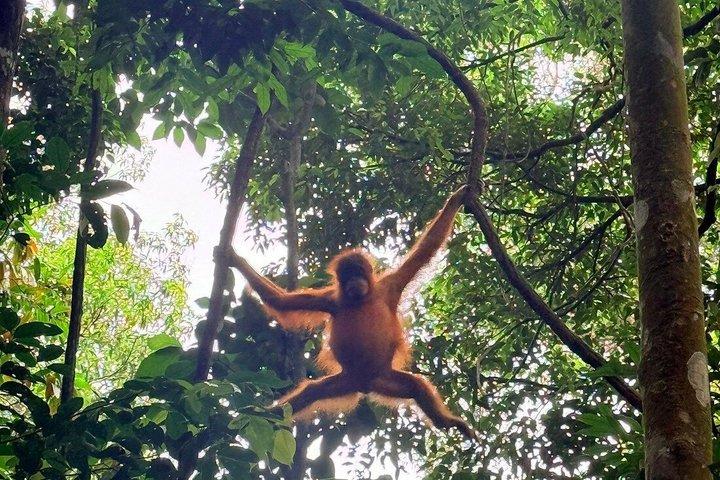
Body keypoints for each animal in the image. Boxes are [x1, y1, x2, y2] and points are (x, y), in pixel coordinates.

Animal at [219, 186, 474, 439]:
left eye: (359, 272)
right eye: (348, 274)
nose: (354, 282)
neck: (361, 299)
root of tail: (365, 385)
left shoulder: (391, 285)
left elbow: (427, 248)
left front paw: (457, 199)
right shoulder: (329, 300)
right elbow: (282, 301)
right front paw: (234, 259)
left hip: (386, 378)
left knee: (417, 386)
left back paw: (447, 421)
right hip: (346, 381)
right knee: (311, 392)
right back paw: (265, 414)